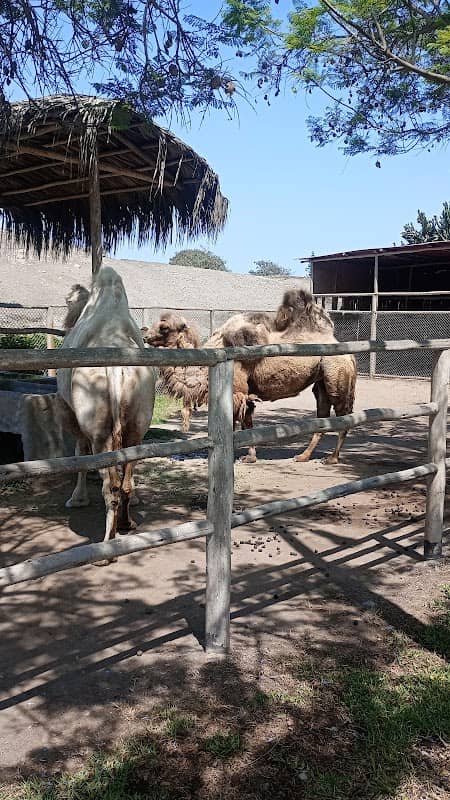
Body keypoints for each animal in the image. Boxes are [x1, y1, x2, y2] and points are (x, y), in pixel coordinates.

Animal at [57, 267, 156, 541]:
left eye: (69, 301)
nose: (65, 323)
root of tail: (115, 369)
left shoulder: (72, 414)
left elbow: (79, 453)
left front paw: (76, 499)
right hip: (138, 419)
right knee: (125, 476)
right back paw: (127, 522)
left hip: (97, 423)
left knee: (109, 483)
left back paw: (108, 541)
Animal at [143, 290, 356, 464]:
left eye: (164, 328)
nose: (145, 336)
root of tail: (345, 350)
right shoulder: (244, 395)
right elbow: (248, 423)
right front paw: (251, 456)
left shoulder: (237, 391)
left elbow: (241, 423)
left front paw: (243, 457)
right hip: (320, 381)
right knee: (323, 414)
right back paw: (303, 456)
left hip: (336, 374)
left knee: (343, 412)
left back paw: (332, 458)